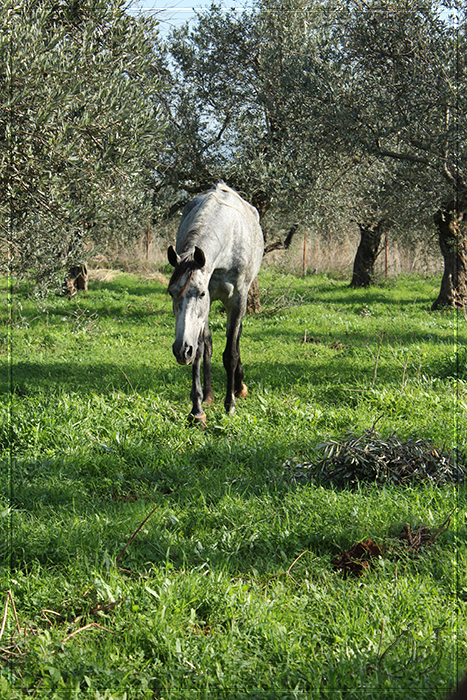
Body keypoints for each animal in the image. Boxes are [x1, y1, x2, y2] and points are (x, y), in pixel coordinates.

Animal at [167, 182, 264, 422]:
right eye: (171, 293)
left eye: (201, 293)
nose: (181, 351)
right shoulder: (205, 310)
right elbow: (200, 350)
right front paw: (197, 410)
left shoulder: (237, 300)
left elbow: (231, 353)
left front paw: (230, 405)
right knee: (207, 345)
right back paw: (209, 394)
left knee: (236, 340)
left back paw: (239, 387)